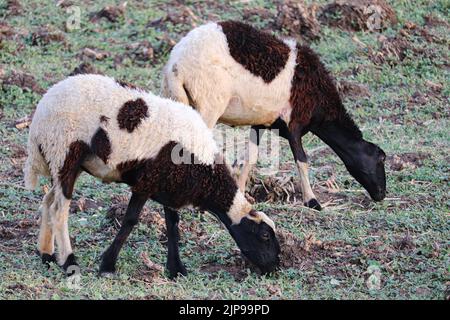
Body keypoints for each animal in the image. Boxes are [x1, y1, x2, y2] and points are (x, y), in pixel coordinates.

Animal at [24, 74, 280, 278]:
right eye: (265, 236)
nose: (275, 268)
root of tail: (41, 111)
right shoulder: (146, 182)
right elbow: (130, 221)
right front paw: (107, 265)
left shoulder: (171, 186)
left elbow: (172, 225)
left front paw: (176, 269)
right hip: (64, 152)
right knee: (59, 209)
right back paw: (69, 261)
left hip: (64, 161)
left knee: (48, 200)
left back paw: (47, 255)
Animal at [162, 20, 386, 210]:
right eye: (381, 159)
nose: (382, 195)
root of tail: (177, 64)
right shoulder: (294, 123)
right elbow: (302, 161)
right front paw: (312, 201)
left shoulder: (261, 123)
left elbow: (250, 158)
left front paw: (240, 193)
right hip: (208, 104)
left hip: (178, 101)